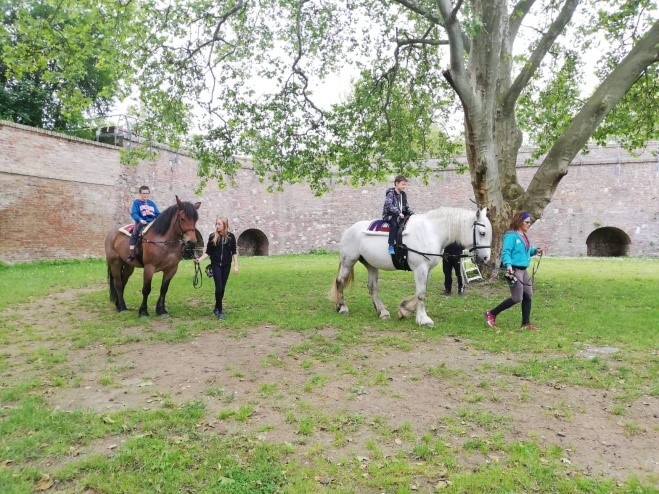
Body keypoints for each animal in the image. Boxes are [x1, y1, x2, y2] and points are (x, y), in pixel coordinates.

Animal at [329, 207, 492, 327]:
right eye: (482, 233)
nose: (486, 258)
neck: (431, 231)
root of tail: (349, 230)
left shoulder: (427, 269)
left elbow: (422, 291)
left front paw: (404, 309)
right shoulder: (420, 268)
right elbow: (421, 293)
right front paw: (423, 319)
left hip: (371, 265)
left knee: (372, 287)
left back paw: (382, 312)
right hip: (348, 261)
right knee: (340, 281)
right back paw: (342, 307)